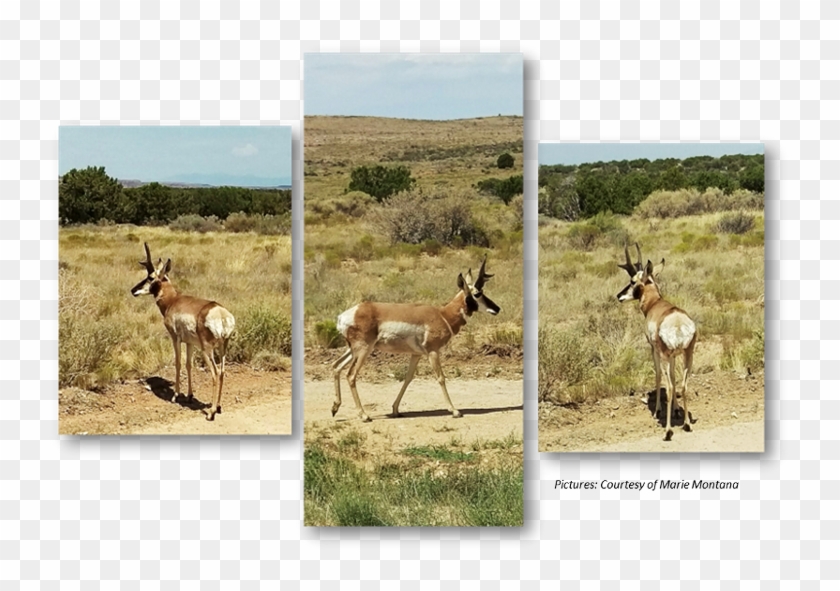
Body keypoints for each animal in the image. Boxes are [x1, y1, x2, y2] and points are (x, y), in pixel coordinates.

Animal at [131, 243, 235, 421]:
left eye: (150, 277)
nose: (133, 290)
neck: (173, 300)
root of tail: (220, 312)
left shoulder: (175, 338)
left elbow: (178, 363)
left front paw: (176, 396)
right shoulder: (189, 343)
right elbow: (188, 365)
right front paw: (189, 396)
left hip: (207, 350)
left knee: (215, 373)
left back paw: (211, 412)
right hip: (223, 348)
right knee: (222, 372)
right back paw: (219, 407)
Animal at [331, 255, 501, 422]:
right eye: (477, 293)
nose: (497, 308)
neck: (443, 315)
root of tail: (346, 315)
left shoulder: (416, 354)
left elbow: (408, 378)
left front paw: (395, 410)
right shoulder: (433, 352)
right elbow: (441, 377)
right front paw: (455, 411)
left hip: (353, 350)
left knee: (336, 366)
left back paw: (335, 408)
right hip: (364, 350)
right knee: (351, 375)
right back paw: (364, 415)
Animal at [617, 243, 697, 441]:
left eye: (632, 281)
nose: (618, 296)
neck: (656, 303)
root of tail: (677, 322)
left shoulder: (653, 350)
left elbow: (659, 375)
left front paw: (658, 411)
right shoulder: (675, 356)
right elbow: (675, 378)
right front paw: (676, 410)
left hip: (666, 355)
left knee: (668, 387)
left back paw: (667, 431)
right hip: (687, 355)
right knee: (683, 385)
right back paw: (686, 424)